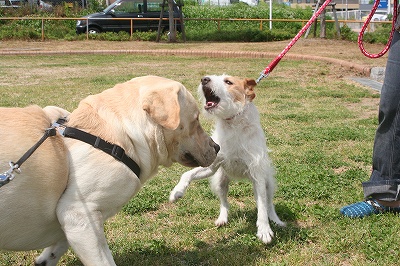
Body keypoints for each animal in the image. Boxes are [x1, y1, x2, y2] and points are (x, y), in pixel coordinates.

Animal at [0, 76, 219, 264]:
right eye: (196, 120)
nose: (217, 147)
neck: (119, 138)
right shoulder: (78, 213)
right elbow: (104, 260)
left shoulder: (72, 220)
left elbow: (58, 244)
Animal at [169, 74, 284, 244]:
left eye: (228, 82)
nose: (204, 79)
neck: (232, 124)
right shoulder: (211, 165)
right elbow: (187, 174)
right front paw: (177, 191)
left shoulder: (257, 174)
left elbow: (262, 206)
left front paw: (264, 229)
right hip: (220, 182)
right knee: (224, 202)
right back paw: (222, 218)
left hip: (267, 183)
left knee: (268, 203)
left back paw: (276, 220)